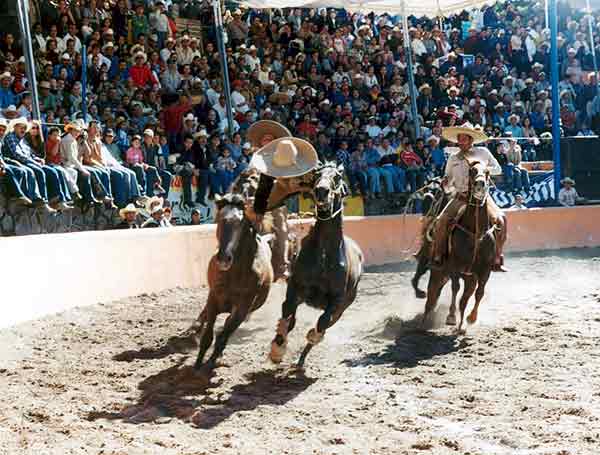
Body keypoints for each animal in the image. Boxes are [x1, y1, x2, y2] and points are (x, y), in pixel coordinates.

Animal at [192, 191, 274, 372]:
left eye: (240, 223)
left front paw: (211, 362)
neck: (235, 273)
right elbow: (208, 336)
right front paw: (197, 364)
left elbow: (224, 335)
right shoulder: (213, 298)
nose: (223, 258)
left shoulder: (243, 308)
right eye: (220, 219)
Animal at [268, 164, 364, 370]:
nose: (322, 191)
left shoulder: (336, 301)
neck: (324, 256)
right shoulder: (295, 289)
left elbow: (321, 323)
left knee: (322, 327)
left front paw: (310, 338)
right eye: (317, 175)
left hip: (342, 308)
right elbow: (287, 317)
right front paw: (277, 351)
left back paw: (301, 360)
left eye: (337, 176)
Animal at [424, 162, 500, 334]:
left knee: (464, 298)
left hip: (470, 277)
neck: (475, 232)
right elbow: (455, 288)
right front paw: (451, 317)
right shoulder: (455, 267)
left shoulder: (484, 271)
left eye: (487, 172)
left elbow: (479, 293)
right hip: (440, 270)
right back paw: (425, 319)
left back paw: (460, 327)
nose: (480, 184)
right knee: (433, 291)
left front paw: (471, 318)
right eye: (472, 171)